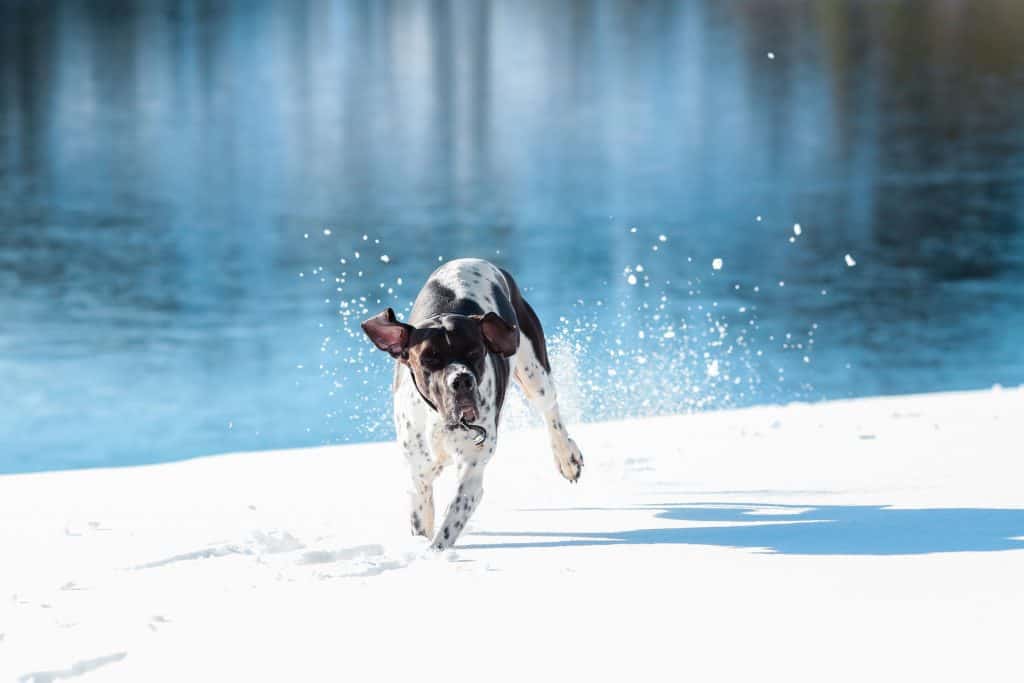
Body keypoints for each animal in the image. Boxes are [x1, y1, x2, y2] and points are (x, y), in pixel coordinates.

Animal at [362, 255, 585, 548]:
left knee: (550, 412)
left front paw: (433, 555)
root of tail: (474, 259)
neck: (440, 421)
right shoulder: (418, 474)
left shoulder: (471, 475)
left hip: (533, 371)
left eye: (476, 352)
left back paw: (566, 457)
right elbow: (422, 516)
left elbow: (448, 527)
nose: (461, 380)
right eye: (428, 358)